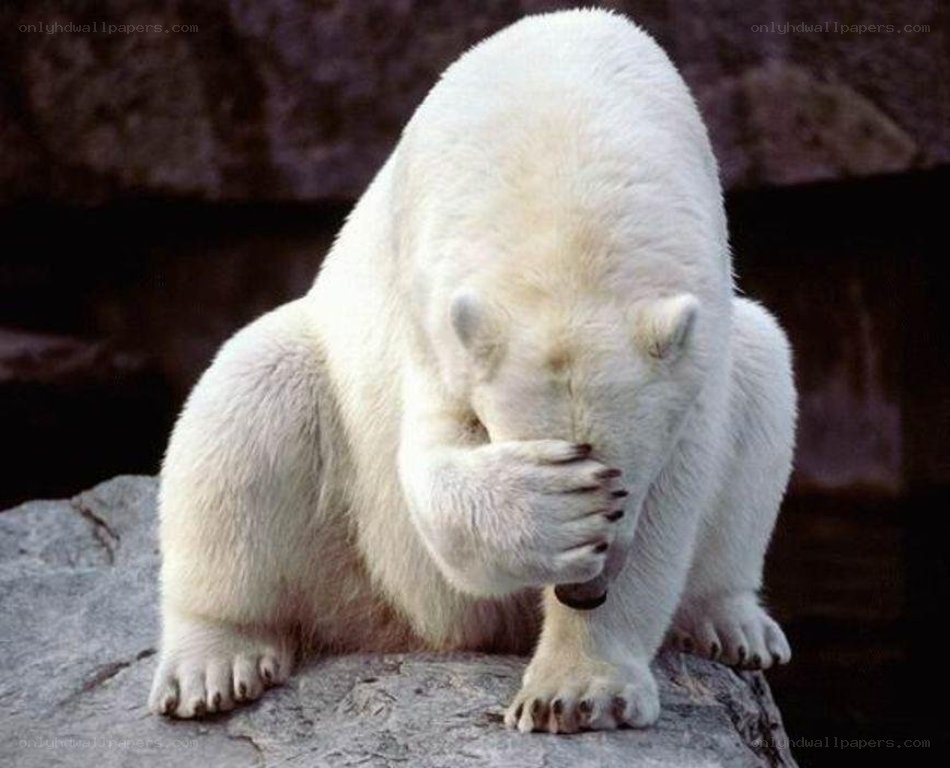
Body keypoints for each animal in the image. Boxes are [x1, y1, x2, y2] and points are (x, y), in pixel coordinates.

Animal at [148, 8, 795, 733]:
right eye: (582, 470)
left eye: (623, 482)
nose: (583, 592)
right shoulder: (432, 307)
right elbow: (429, 467)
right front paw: (550, 513)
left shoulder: (698, 334)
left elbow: (678, 491)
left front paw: (575, 692)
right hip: (346, 532)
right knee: (248, 398)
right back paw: (213, 663)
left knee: (764, 370)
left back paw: (733, 623)